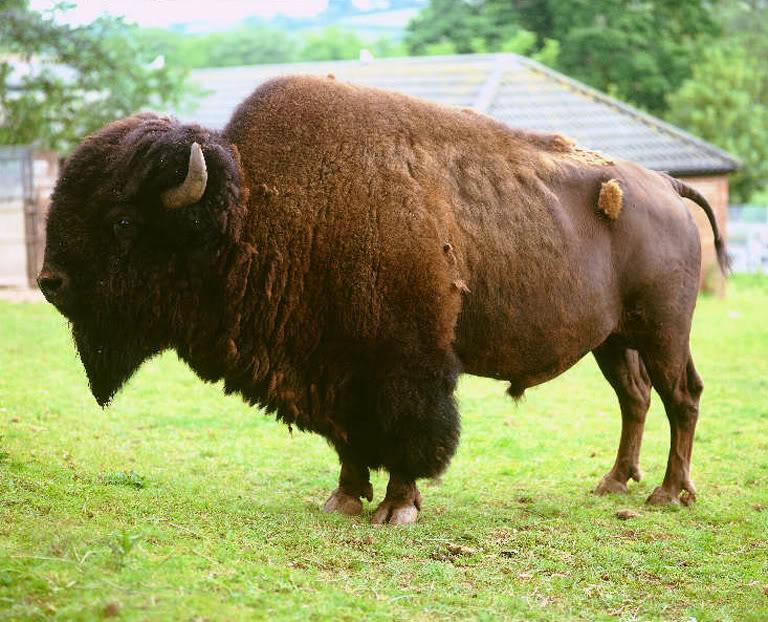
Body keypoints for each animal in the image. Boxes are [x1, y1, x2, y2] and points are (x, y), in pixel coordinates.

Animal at [39, 77, 728, 528]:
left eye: (123, 221)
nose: (50, 282)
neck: (253, 209)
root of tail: (666, 185)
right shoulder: (336, 366)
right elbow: (350, 440)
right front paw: (343, 499)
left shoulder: (405, 366)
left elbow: (410, 436)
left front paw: (397, 510)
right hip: (612, 341)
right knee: (635, 398)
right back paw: (613, 484)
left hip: (664, 331)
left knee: (682, 395)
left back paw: (669, 494)